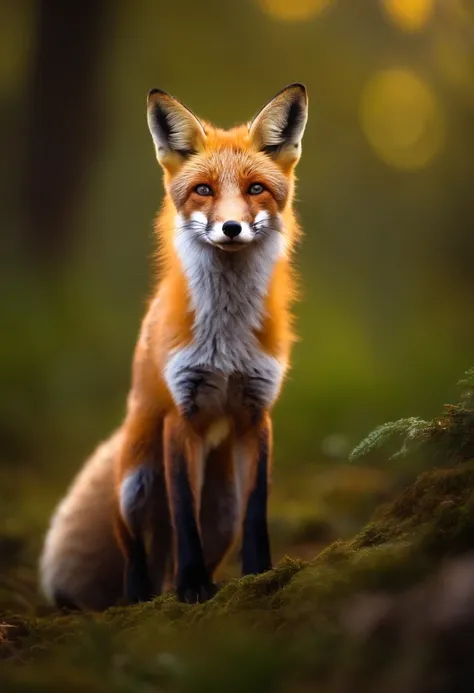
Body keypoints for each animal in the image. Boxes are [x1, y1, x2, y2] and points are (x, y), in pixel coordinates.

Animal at [39, 84, 310, 608]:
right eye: (203, 189)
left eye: (255, 189)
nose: (231, 228)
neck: (226, 337)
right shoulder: (182, 413)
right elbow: (184, 514)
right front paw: (191, 586)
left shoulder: (256, 414)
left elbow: (258, 512)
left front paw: (257, 576)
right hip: (137, 481)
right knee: (137, 550)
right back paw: (141, 597)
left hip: (221, 506)